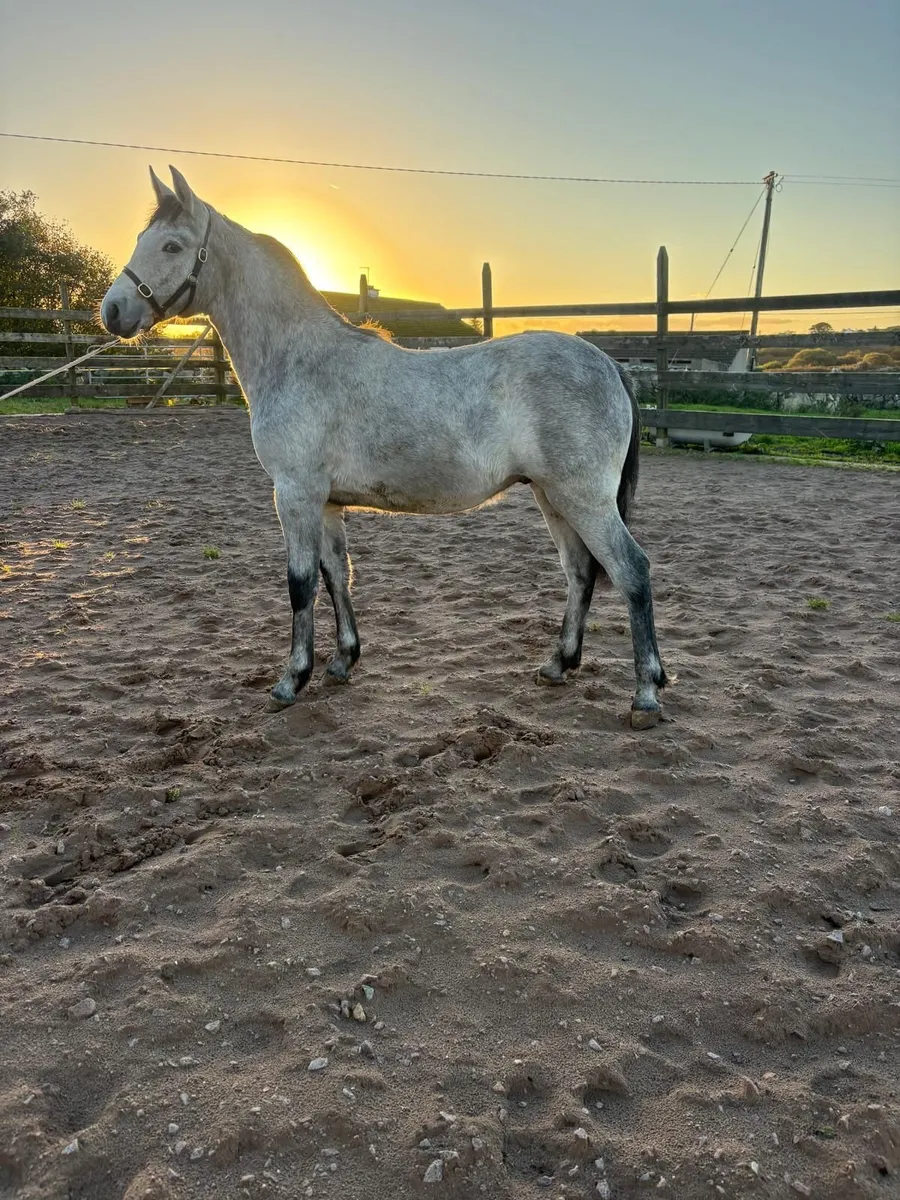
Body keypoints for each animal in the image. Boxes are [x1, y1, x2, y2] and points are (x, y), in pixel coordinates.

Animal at [101, 166, 668, 728]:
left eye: (172, 245)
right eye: (141, 239)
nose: (112, 311)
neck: (298, 358)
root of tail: (609, 365)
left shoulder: (295, 494)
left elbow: (300, 583)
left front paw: (291, 680)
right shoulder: (326, 501)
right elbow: (336, 575)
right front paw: (341, 661)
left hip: (583, 499)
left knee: (631, 571)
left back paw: (645, 695)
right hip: (553, 497)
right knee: (581, 572)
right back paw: (558, 664)